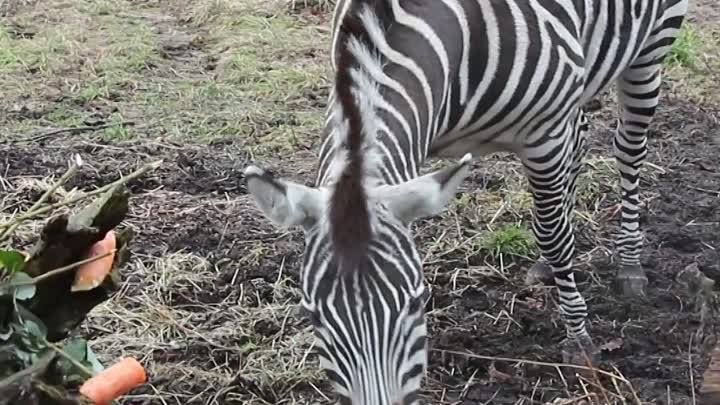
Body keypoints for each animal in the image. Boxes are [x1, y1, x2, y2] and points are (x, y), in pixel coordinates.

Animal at [245, 0, 688, 402]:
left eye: (416, 303)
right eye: (311, 316)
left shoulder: (543, 134)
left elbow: (552, 233)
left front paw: (578, 339)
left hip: (651, 49)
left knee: (628, 150)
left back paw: (629, 262)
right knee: (578, 140)